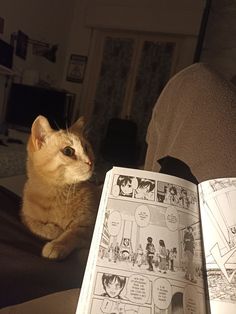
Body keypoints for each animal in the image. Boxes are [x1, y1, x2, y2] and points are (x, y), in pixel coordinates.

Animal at [21, 115, 100, 260]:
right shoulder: (25, 216)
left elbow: (72, 233)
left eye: (86, 148)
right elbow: (35, 225)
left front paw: (56, 245)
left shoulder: (89, 227)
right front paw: (53, 230)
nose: (90, 162)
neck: (58, 193)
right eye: (68, 151)